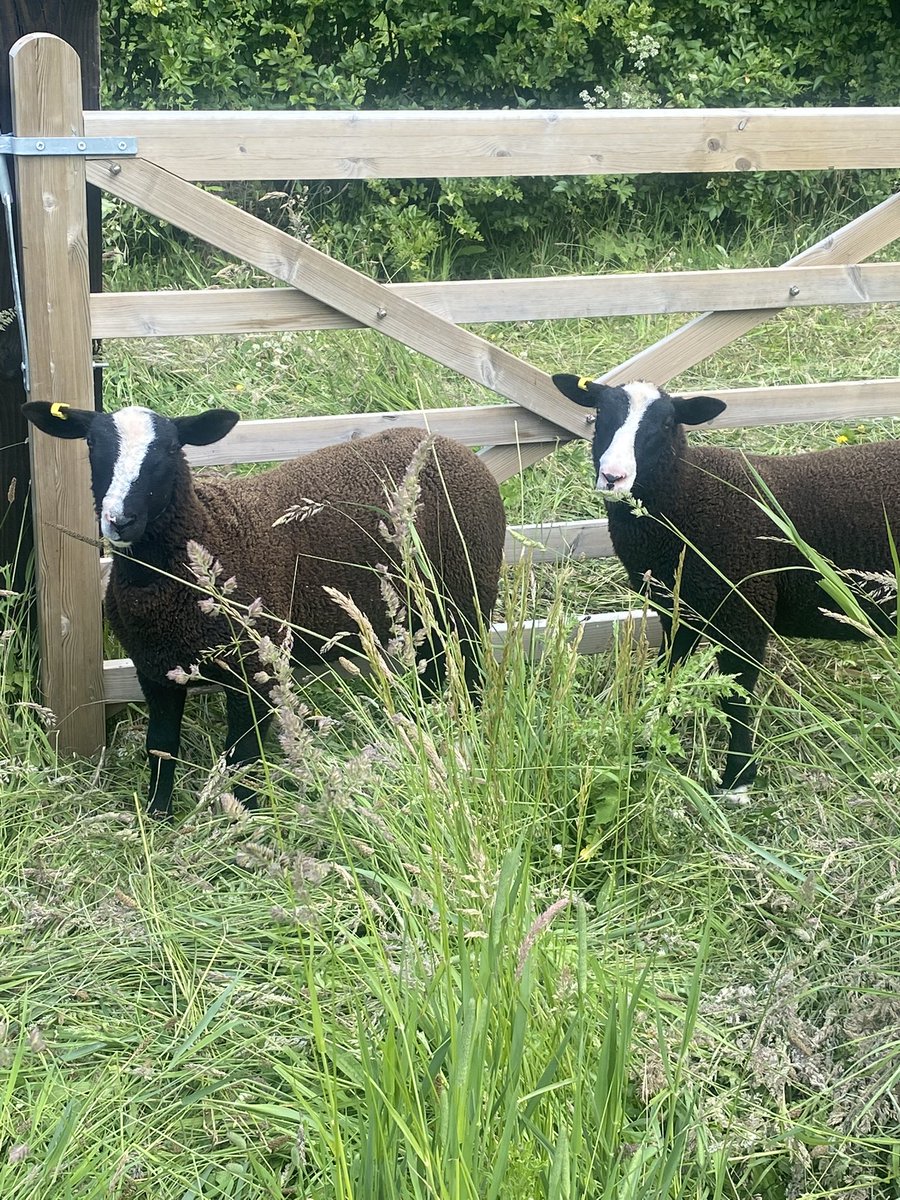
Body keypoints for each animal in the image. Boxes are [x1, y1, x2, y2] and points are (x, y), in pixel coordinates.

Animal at [23, 401, 506, 818]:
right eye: (90, 443)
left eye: (171, 448)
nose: (119, 520)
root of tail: (450, 444)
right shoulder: (155, 670)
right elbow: (160, 748)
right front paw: (158, 818)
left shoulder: (255, 670)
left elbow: (244, 756)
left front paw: (247, 822)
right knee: (432, 669)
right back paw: (423, 728)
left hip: (468, 594)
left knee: (469, 672)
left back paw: (464, 736)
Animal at [552, 372, 900, 794]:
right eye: (600, 413)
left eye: (667, 424)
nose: (613, 477)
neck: (688, 496)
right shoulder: (679, 612)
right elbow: (668, 672)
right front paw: (648, 745)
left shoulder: (744, 612)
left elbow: (737, 696)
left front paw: (737, 778)